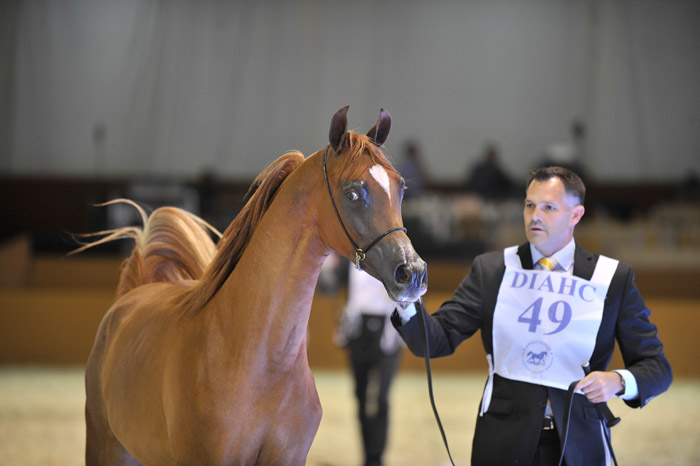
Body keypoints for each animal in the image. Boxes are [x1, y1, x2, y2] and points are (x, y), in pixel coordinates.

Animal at [78, 106, 428, 465]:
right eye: (353, 192)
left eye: (401, 189)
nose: (412, 272)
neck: (258, 360)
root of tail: (133, 295)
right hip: (106, 447)